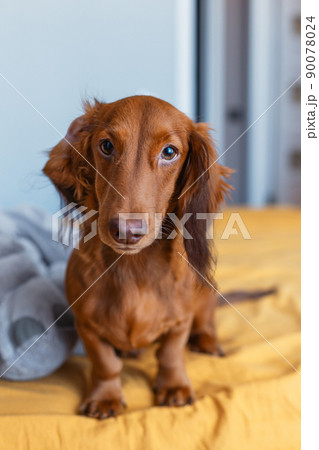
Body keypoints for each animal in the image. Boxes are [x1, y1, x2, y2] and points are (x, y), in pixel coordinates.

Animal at [43, 95, 232, 418]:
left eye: (169, 152)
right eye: (106, 146)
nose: (126, 231)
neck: (134, 269)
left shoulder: (180, 321)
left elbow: (170, 353)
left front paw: (174, 386)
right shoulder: (86, 325)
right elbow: (106, 363)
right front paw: (105, 397)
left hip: (206, 293)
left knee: (206, 319)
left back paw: (207, 341)